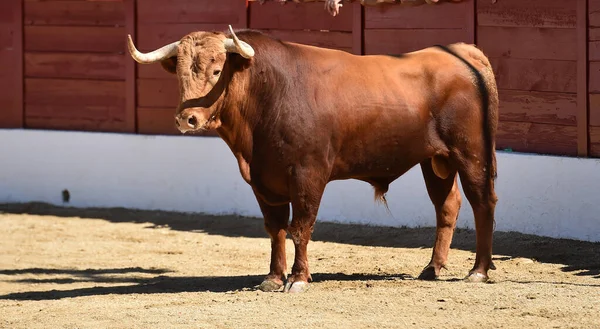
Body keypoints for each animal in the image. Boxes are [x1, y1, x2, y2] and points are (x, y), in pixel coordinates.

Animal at [127, 26, 502, 292]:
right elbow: (275, 228)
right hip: (435, 160)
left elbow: (300, 227)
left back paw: (478, 271)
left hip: (472, 153)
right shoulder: (263, 180)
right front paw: (273, 277)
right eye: (180, 73)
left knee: (482, 202)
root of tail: (464, 53)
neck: (268, 93)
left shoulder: (308, 174)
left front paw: (298, 279)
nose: (187, 119)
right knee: (447, 206)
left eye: (218, 70)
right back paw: (432, 268)